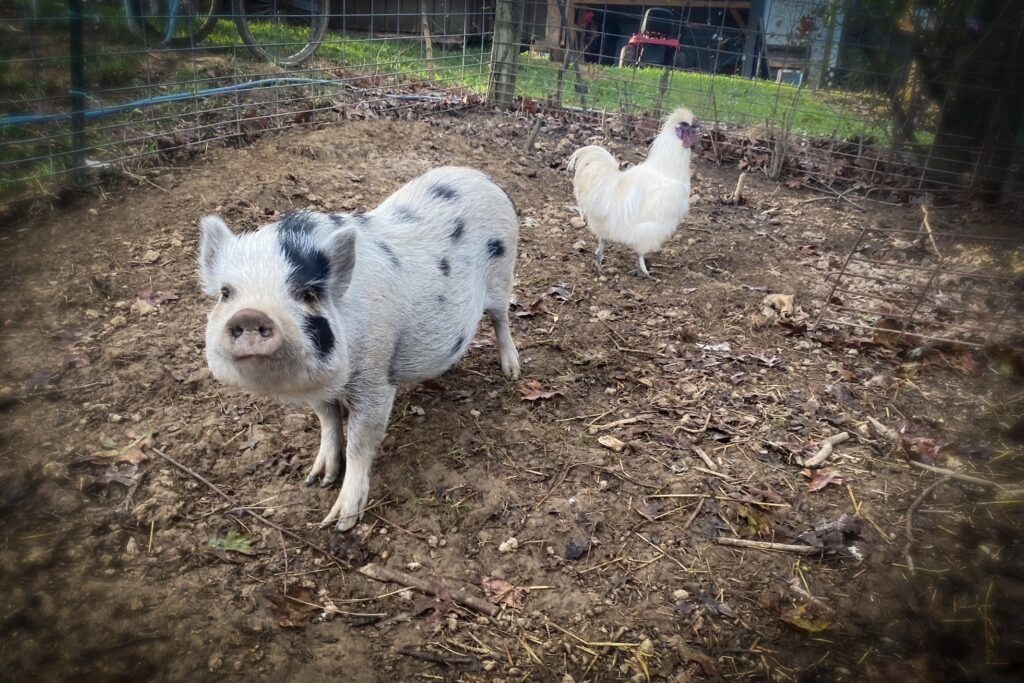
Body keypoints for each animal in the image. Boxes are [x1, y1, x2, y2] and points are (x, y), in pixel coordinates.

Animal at [197, 166, 520, 531]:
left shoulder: (376, 378)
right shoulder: (319, 388)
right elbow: (327, 420)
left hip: (503, 273)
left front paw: (339, 522)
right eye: (226, 293)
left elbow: (360, 441)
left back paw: (512, 371)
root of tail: (483, 177)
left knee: (501, 317)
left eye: (308, 294)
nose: (251, 315)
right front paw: (317, 479)